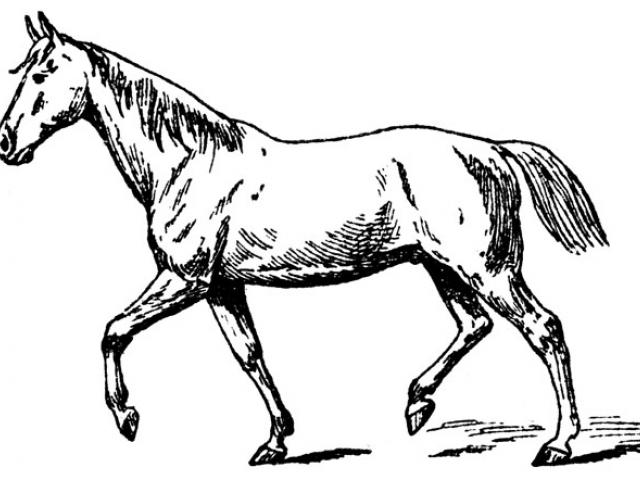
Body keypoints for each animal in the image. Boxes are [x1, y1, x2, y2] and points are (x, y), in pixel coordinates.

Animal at [0, 13, 608, 466]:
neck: (188, 162)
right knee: (475, 325)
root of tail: (492, 150)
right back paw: (417, 404)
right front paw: (275, 441)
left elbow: (113, 330)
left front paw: (127, 418)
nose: (6, 142)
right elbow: (249, 354)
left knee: (544, 328)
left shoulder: (184, 280)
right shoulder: (222, 288)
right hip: (442, 268)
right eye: (19, 70)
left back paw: (557, 445)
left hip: (488, 270)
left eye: (45, 71)